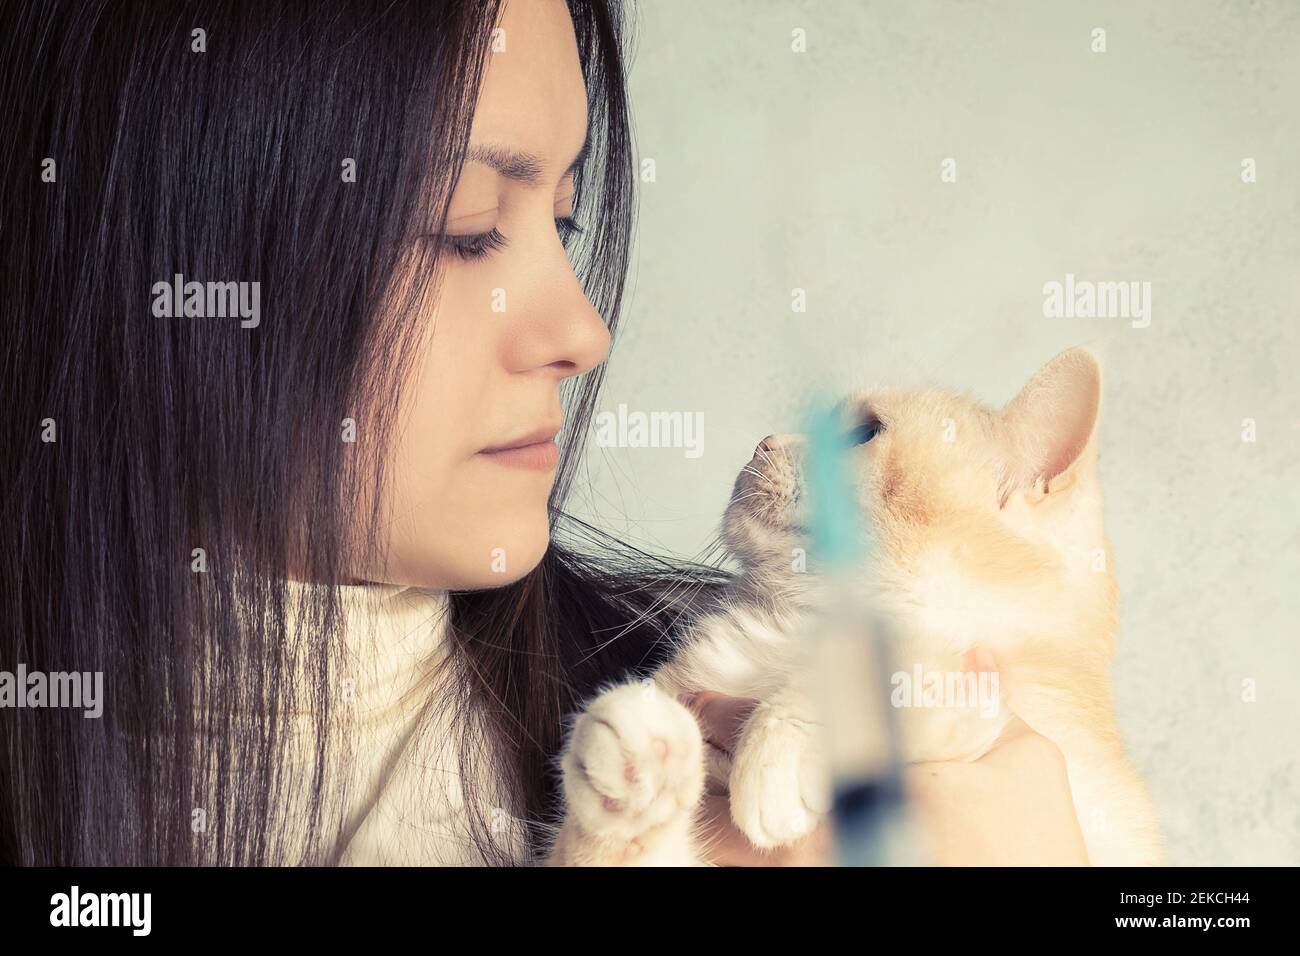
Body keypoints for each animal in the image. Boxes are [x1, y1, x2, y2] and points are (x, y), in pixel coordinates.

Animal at [546, 348, 1159, 868]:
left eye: (864, 433)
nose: (762, 442)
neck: (792, 624)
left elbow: (886, 664)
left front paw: (778, 749)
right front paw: (633, 761)